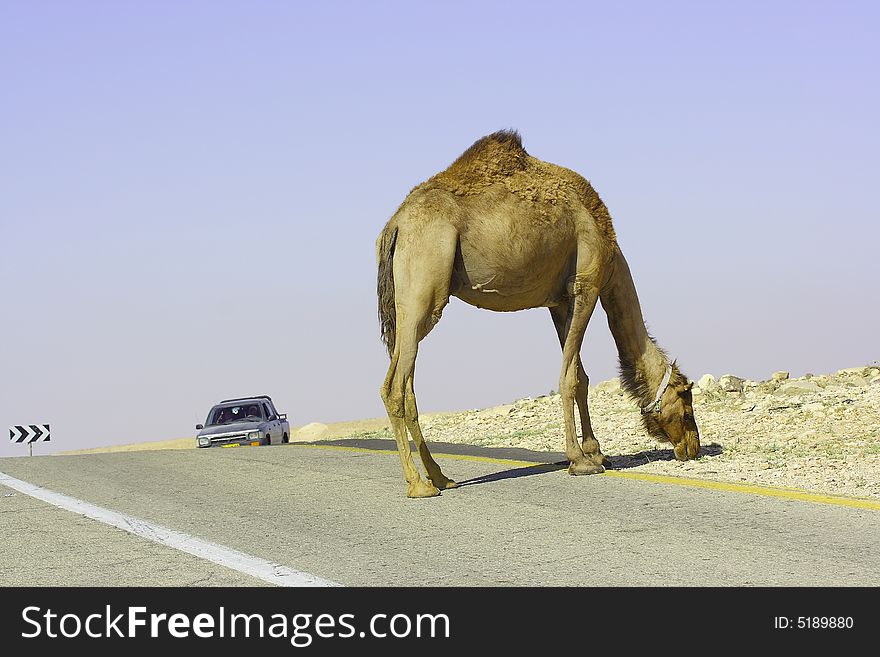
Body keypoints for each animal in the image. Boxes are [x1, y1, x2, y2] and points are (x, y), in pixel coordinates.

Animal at [374, 129, 696, 498]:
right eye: (686, 399)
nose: (693, 447)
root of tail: (394, 225)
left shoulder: (559, 301)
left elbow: (581, 376)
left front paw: (597, 452)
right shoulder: (587, 283)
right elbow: (570, 377)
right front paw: (581, 461)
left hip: (409, 304)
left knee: (405, 380)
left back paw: (441, 477)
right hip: (425, 286)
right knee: (396, 385)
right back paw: (419, 485)